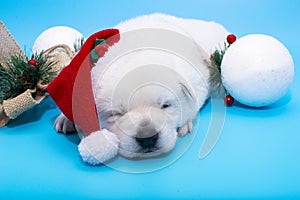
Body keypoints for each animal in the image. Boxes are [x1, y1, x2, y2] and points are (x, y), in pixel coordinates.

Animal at [54, 12, 227, 159]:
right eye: (117, 114)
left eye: (165, 106)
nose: (148, 138)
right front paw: (65, 118)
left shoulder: (198, 78)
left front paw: (185, 123)